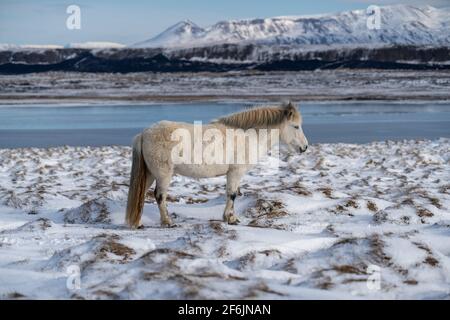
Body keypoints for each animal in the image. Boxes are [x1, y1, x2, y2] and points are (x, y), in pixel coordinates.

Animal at [126, 102, 310, 228]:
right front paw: (231, 218)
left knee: (142, 193)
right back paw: (168, 222)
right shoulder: (235, 172)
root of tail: (144, 134)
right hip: (163, 174)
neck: (248, 136)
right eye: (296, 126)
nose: (305, 147)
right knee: (160, 196)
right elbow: (232, 195)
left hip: (150, 174)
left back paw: (138, 222)